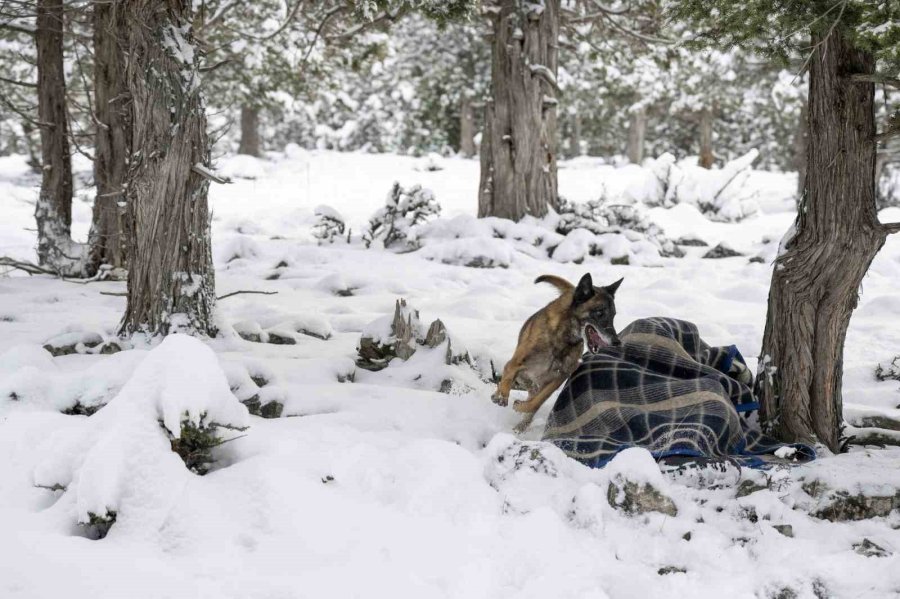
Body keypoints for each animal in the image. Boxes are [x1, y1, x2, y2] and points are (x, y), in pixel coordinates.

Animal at [488, 274, 624, 434]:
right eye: (599, 312)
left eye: (613, 315)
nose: (616, 342)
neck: (564, 338)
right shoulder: (515, 364)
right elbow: (508, 376)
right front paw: (502, 396)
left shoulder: (559, 376)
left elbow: (537, 401)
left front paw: (521, 406)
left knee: (533, 396)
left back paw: (520, 426)